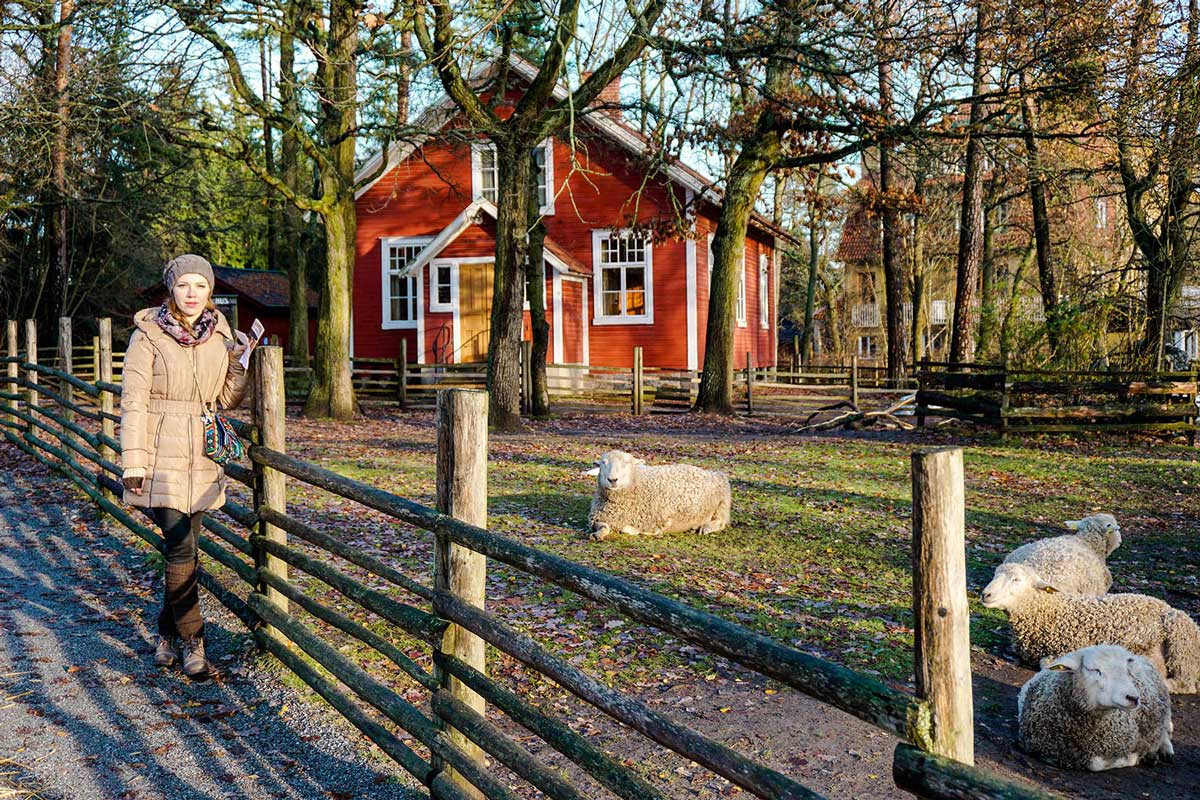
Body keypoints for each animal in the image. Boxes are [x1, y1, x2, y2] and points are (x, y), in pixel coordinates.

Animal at [583, 450, 729, 544]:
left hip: (723, 504)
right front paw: (597, 535)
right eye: (603, 463)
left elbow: (627, 529)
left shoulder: (659, 520)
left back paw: (706, 527)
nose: (612, 480)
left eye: (627, 463)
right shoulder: (598, 517)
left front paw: (649, 532)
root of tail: (710, 471)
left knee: (721, 522)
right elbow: (603, 527)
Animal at [979, 563, 1200, 695]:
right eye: (995, 575)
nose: (985, 595)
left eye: (1017, 579)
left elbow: (1046, 663)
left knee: (1186, 683)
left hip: (1181, 642)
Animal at [1017, 642, 1176, 767]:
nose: (1134, 698)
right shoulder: (1036, 745)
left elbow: (1098, 763)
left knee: (1165, 731)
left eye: (1128, 672)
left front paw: (1137, 757)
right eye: (1095, 670)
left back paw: (1165, 750)